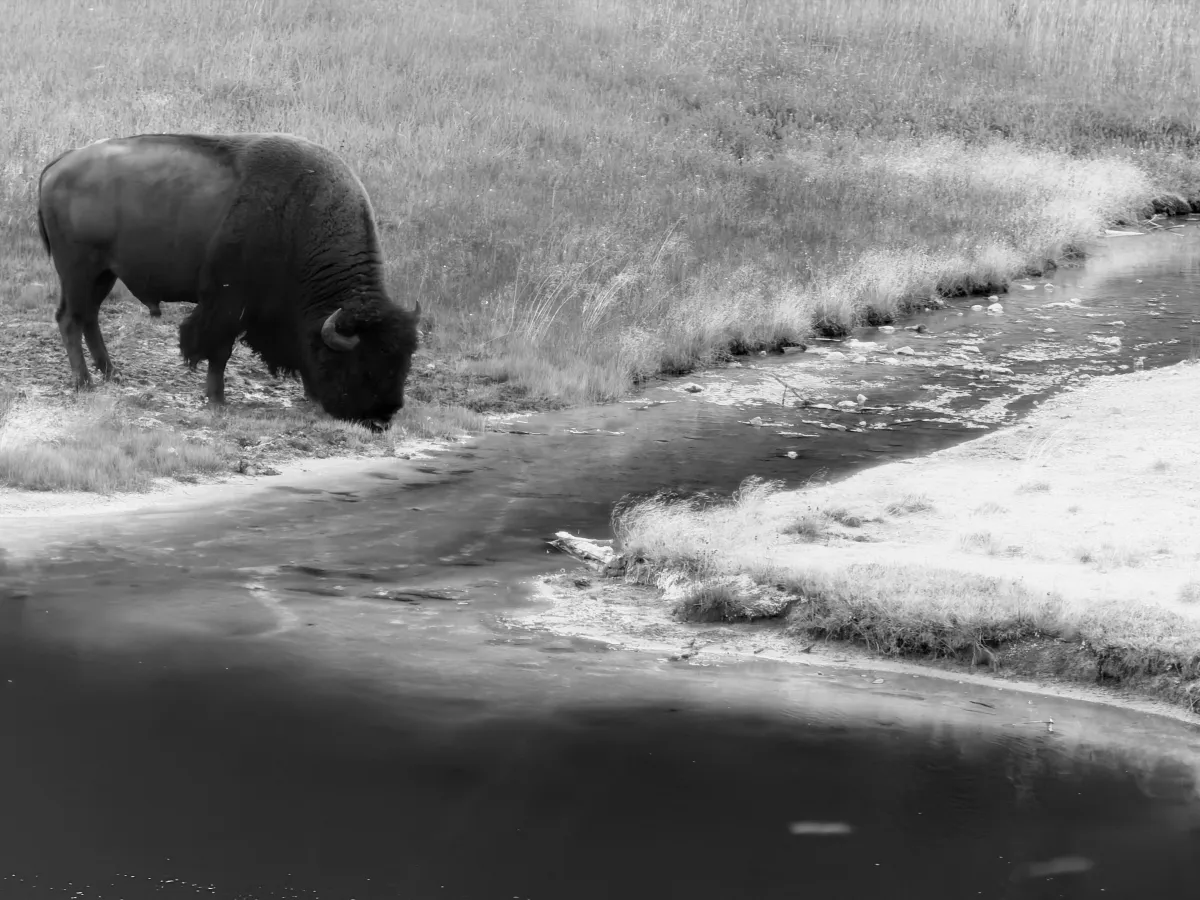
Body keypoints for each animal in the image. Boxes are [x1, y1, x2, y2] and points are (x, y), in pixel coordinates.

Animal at [37, 132, 421, 430]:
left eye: (403, 365)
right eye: (361, 367)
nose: (382, 418)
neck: (298, 218)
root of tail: (58, 165)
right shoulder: (228, 304)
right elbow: (219, 351)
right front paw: (217, 400)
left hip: (103, 274)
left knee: (89, 318)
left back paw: (110, 373)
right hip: (79, 270)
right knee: (70, 319)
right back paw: (84, 382)